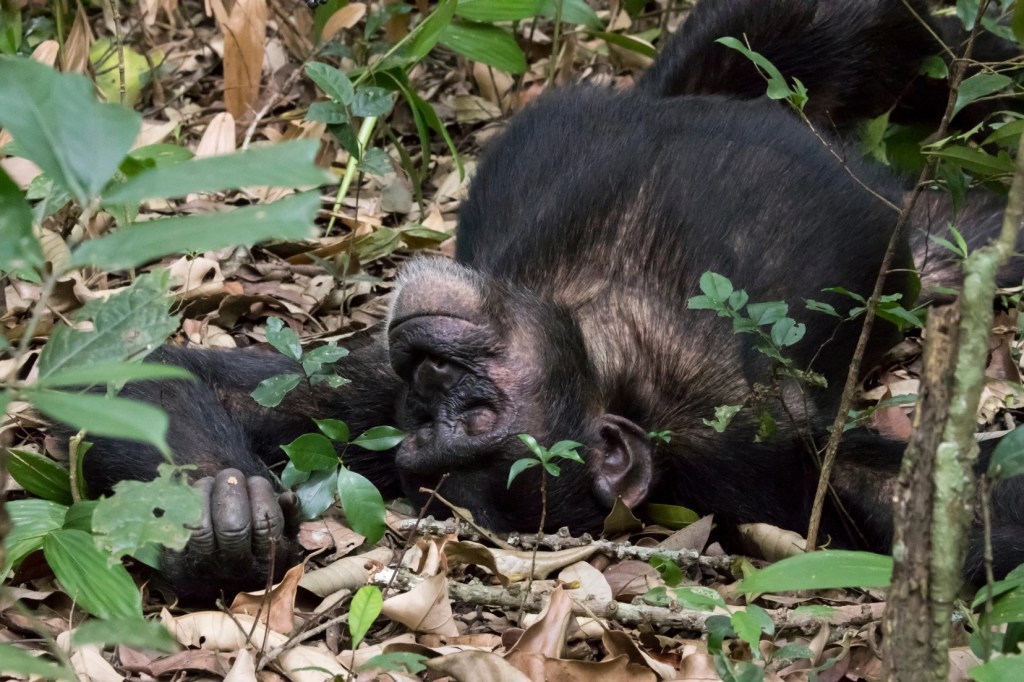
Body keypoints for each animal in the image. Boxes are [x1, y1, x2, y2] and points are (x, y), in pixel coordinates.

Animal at [59, 0, 1024, 601]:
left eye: (476, 413)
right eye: (423, 429)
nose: (430, 374)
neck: (612, 342)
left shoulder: (759, 438)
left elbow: (960, 508)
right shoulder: (368, 391)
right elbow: (151, 374)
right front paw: (217, 517)